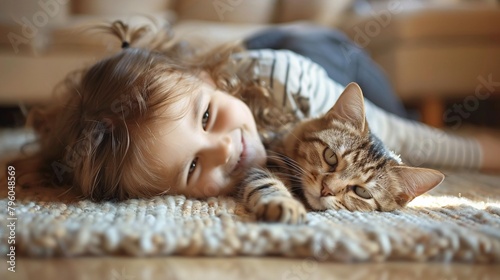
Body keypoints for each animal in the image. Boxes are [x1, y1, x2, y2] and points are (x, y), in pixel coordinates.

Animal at [236, 82, 444, 224]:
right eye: (330, 157)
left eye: (362, 192)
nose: (326, 189)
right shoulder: (266, 162)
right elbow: (267, 183)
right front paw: (284, 204)